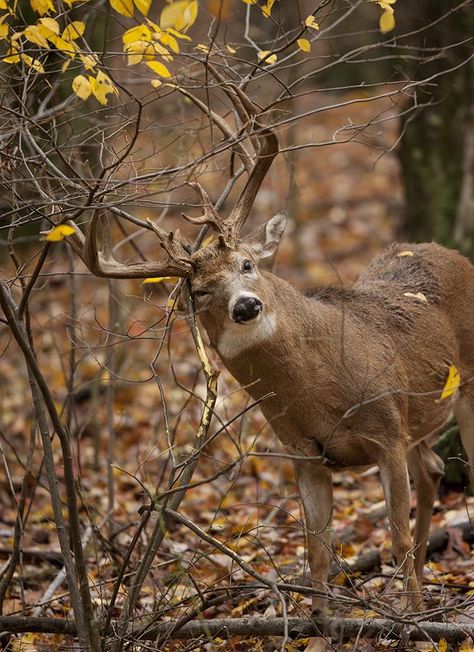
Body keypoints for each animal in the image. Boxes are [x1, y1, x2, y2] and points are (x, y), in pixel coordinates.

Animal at [68, 83, 474, 620]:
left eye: (246, 264)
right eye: (199, 292)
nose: (246, 305)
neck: (321, 392)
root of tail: (449, 251)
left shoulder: (385, 430)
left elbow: (397, 537)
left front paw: (407, 618)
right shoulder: (302, 453)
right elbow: (316, 553)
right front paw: (322, 624)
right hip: (417, 417)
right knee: (432, 469)